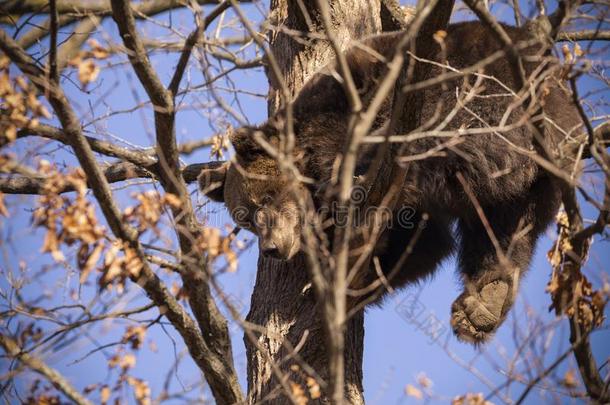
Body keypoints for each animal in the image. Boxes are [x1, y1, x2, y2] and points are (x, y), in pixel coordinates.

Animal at [198, 20, 580, 342]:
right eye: (246, 219)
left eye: (266, 199)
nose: (272, 248)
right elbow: (426, 244)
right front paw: (358, 281)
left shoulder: (345, 108)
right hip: (536, 178)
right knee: (505, 230)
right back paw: (483, 303)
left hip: (478, 94)